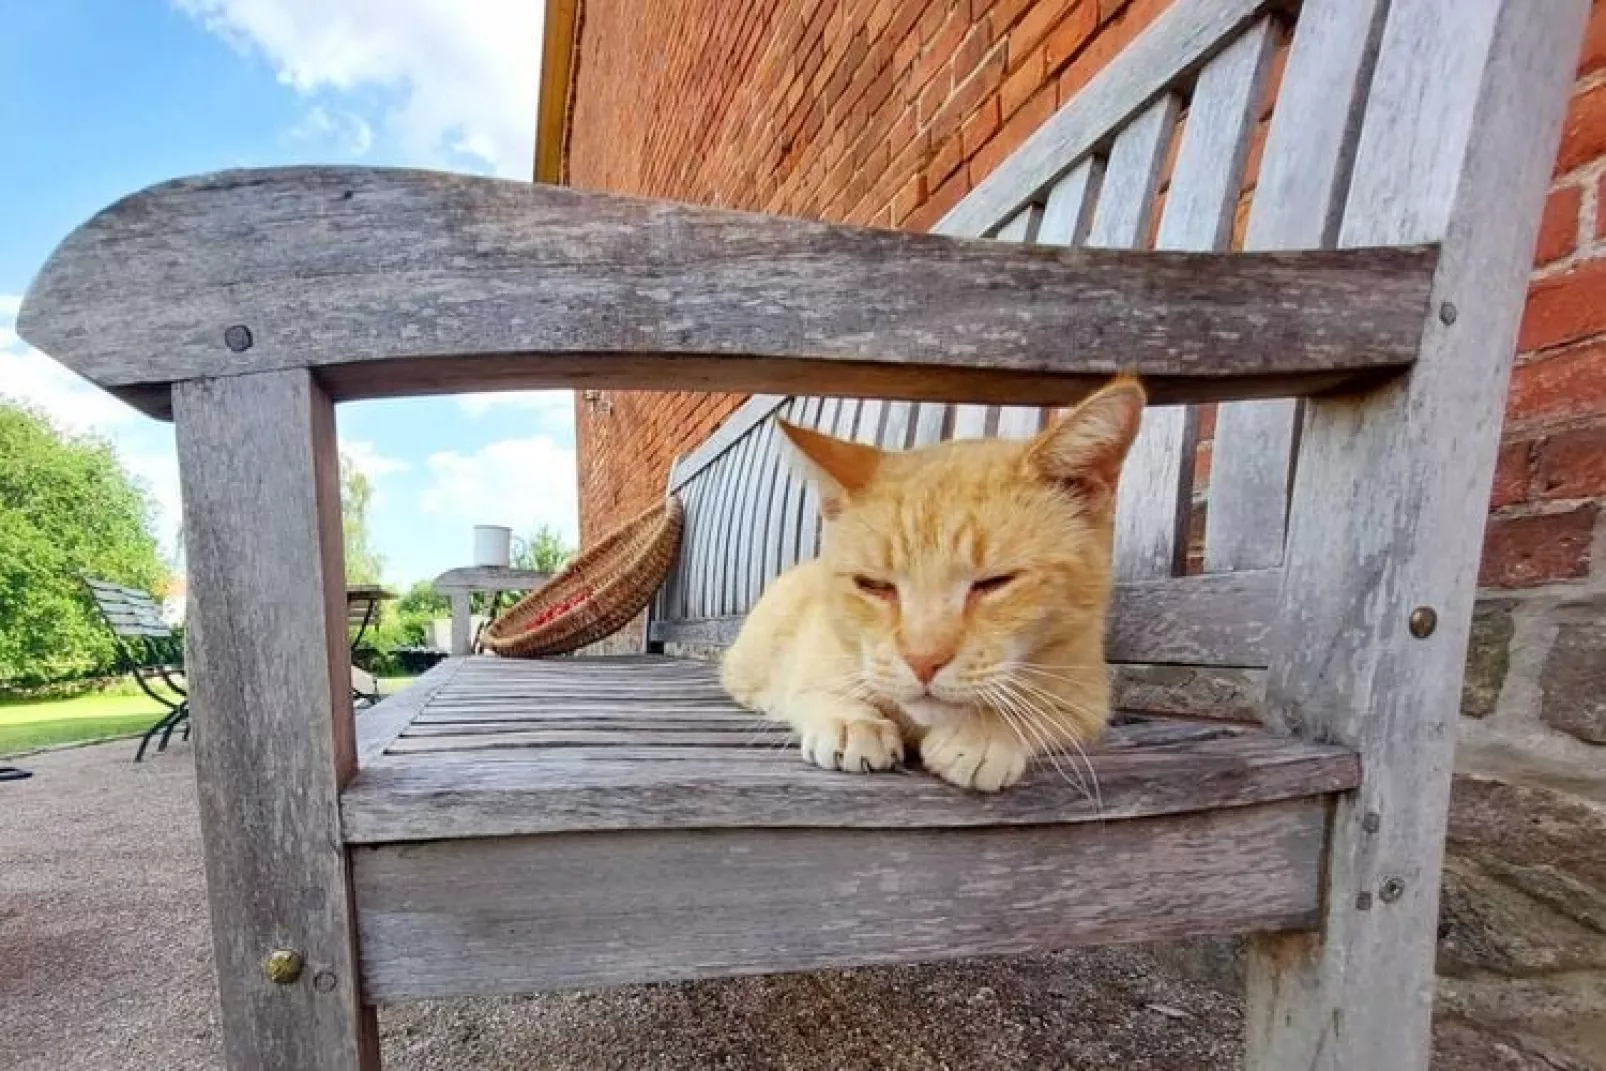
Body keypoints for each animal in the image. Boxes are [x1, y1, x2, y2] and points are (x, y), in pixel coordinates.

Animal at [722, 375, 1149, 786]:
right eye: (874, 585)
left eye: (995, 582)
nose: (923, 662)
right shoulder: (817, 658)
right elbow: (821, 687)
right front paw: (853, 721)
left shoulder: (1088, 700)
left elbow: (1039, 708)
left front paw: (983, 734)